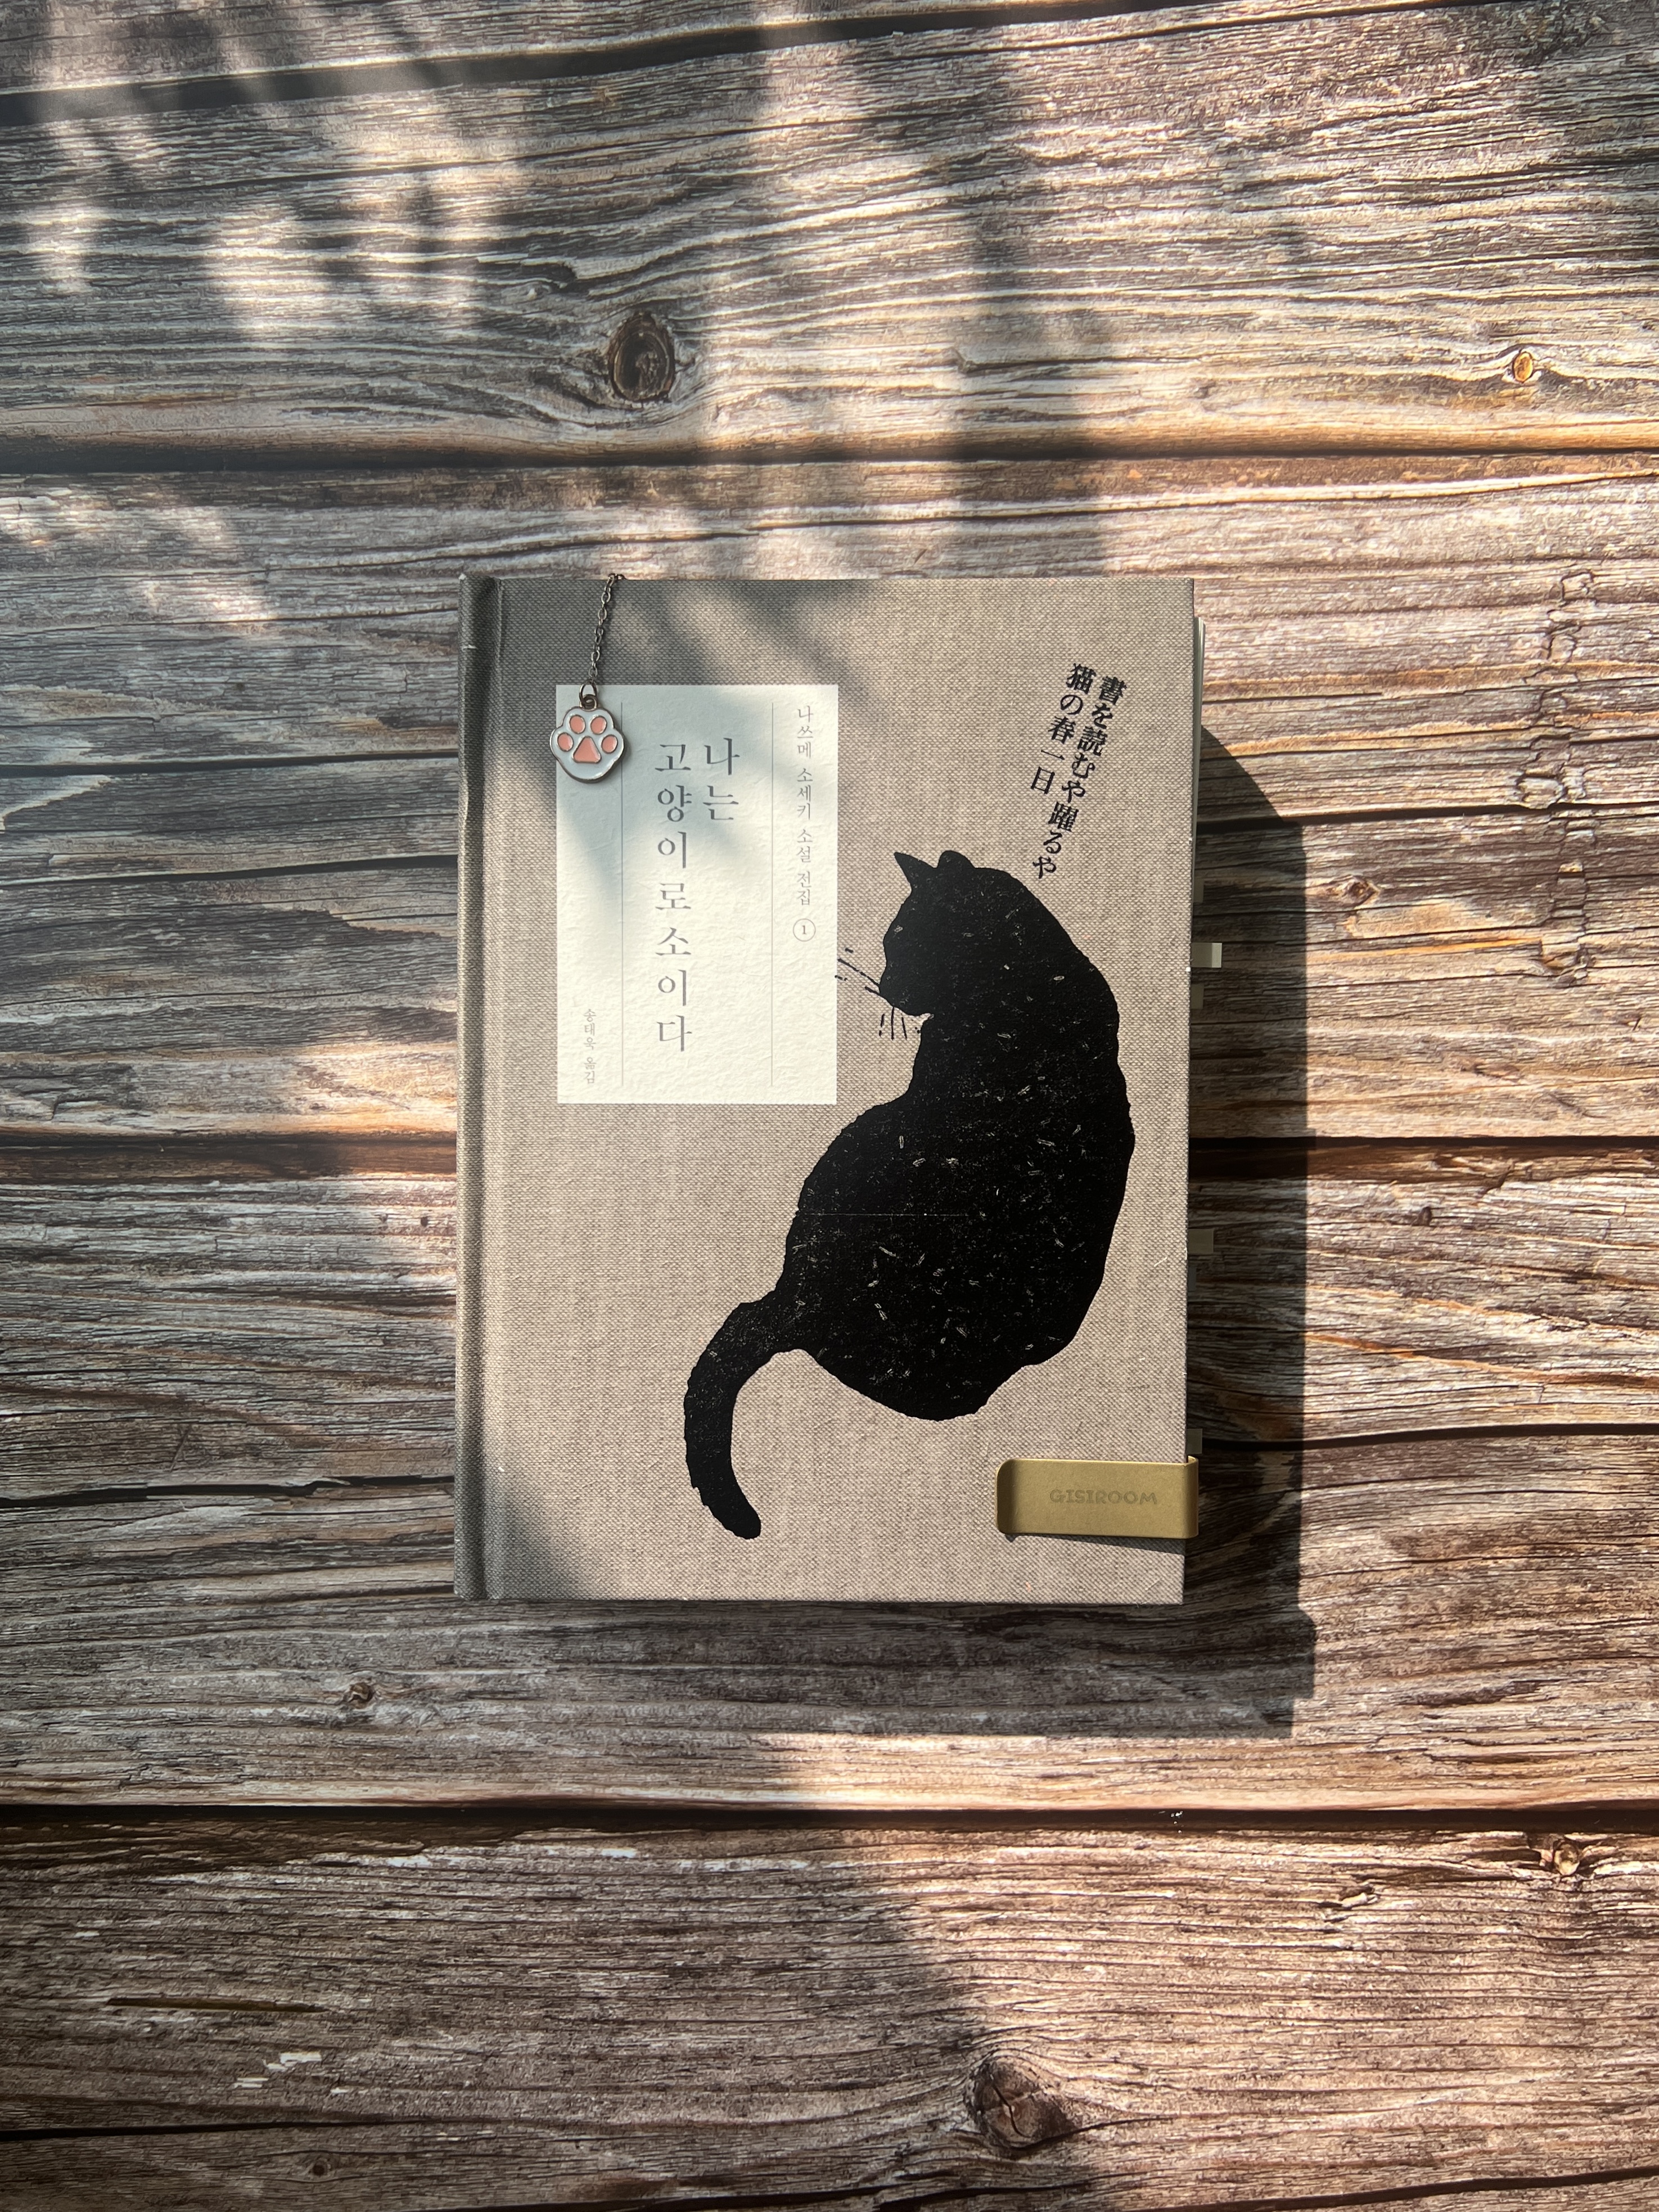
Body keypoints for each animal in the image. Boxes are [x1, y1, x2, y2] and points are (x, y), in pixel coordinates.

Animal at [684, 849, 1135, 1538]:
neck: (1024, 986)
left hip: (855, 1144)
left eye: (905, 941)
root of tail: (802, 1308)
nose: (890, 988)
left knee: (746, 1313)